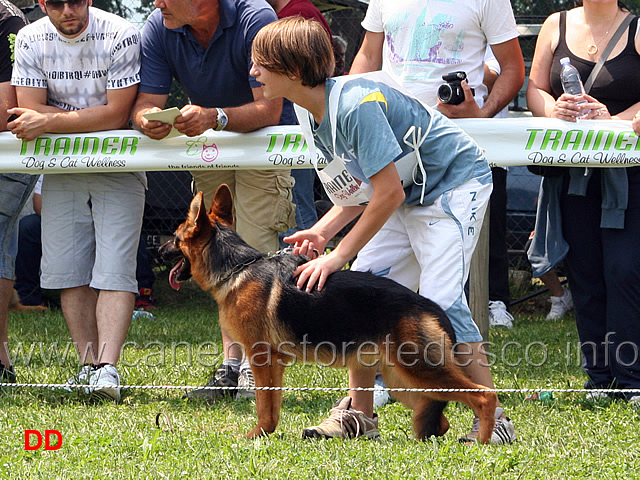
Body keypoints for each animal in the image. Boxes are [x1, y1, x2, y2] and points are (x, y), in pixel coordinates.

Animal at [161, 185, 500, 442]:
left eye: (175, 238)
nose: (156, 251)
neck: (237, 267)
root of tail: (429, 305)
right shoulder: (274, 364)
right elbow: (272, 405)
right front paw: (266, 433)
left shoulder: (262, 359)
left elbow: (264, 407)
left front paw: (257, 435)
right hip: (402, 379)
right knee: (438, 417)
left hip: (420, 370)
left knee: (484, 395)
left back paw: (482, 441)